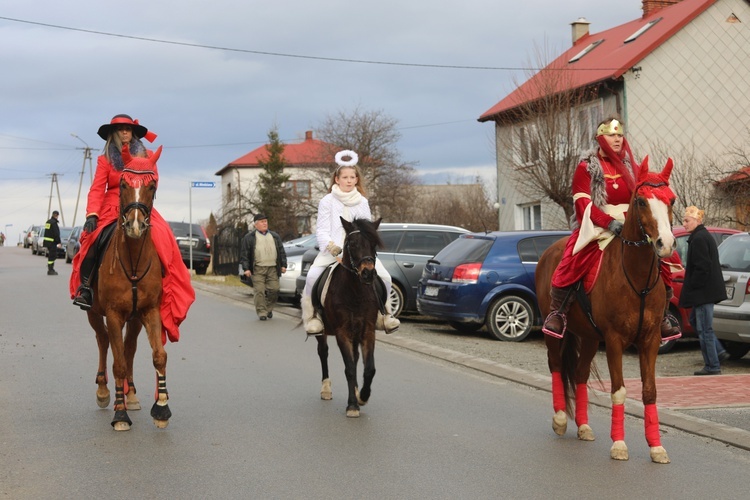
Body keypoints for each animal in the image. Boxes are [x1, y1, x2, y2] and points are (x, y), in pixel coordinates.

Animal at [88, 146, 172, 432]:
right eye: (123, 184)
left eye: (152, 185)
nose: (135, 225)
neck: (133, 259)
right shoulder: (113, 314)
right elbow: (119, 365)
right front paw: (120, 414)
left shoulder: (150, 311)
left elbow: (158, 356)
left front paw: (161, 408)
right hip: (93, 313)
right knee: (103, 341)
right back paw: (104, 391)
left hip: (134, 319)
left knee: (129, 347)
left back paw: (131, 395)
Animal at [316, 217, 384, 416]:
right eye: (352, 244)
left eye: (374, 243)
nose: (368, 273)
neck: (355, 293)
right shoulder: (342, 332)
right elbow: (350, 369)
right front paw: (353, 405)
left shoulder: (368, 330)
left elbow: (369, 369)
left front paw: (363, 396)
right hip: (323, 331)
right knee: (323, 352)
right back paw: (326, 389)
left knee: (355, 357)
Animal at [536, 157, 680, 464]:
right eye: (640, 201)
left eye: (671, 199)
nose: (665, 244)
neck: (637, 279)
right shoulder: (614, 340)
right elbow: (619, 391)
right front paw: (619, 445)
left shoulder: (650, 340)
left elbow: (649, 391)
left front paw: (656, 447)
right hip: (554, 332)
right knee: (556, 366)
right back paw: (561, 419)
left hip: (590, 337)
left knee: (579, 374)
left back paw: (583, 426)